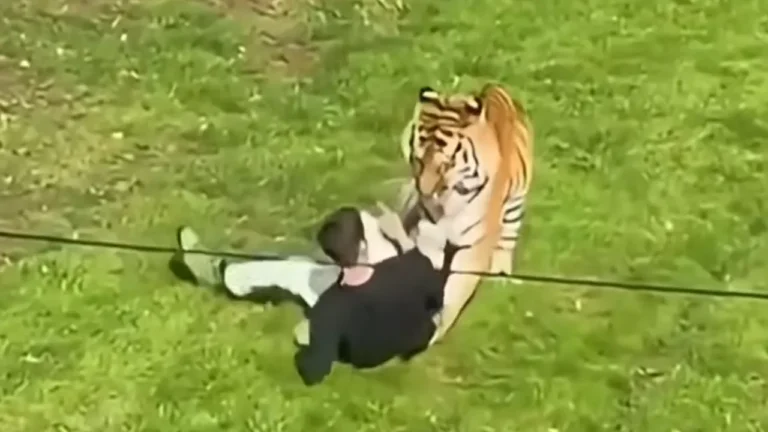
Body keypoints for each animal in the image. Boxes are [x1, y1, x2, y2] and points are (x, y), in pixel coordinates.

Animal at [396, 83, 534, 344]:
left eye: (445, 165)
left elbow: (455, 291)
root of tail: (493, 86)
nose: (424, 193)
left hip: (515, 204)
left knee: (506, 243)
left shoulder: (475, 245)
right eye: (418, 160)